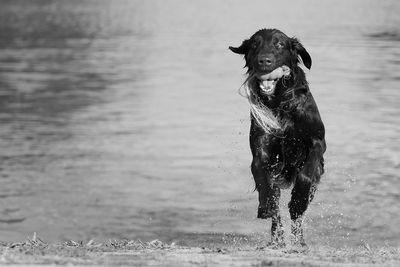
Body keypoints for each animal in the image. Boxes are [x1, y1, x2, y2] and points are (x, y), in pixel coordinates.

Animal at [230, 28, 326, 248]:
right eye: (254, 44)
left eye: (279, 44)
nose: (264, 61)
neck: (279, 101)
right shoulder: (261, 149)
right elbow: (264, 181)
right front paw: (265, 205)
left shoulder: (317, 142)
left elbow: (305, 175)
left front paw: (297, 200)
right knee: (277, 212)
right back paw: (278, 238)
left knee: (298, 216)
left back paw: (298, 239)